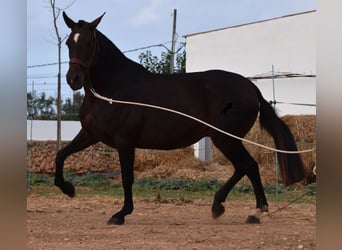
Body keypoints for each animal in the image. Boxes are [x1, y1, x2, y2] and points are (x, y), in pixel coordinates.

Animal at [54, 12, 306, 225]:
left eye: (89, 42)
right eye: (69, 43)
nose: (74, 79)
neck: (113, 90)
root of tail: (250, 87)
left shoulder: (124, 142)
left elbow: (127, 178)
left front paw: (121, 214)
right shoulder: (90, 134)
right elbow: (60, 155)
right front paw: (68, 188)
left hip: (225, 138)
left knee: (248, 166)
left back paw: (251, 210)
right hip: (227, 139)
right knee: (244, 167)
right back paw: (227, 207)